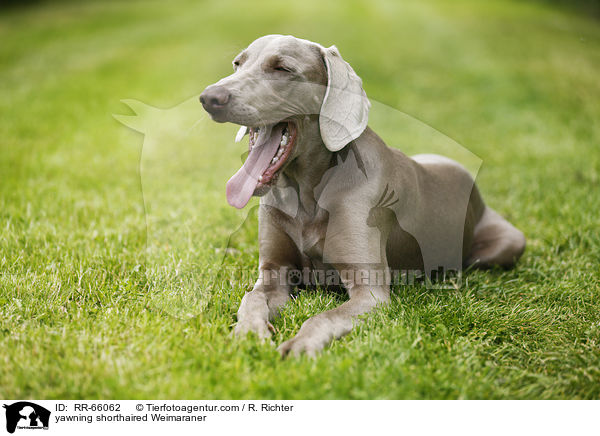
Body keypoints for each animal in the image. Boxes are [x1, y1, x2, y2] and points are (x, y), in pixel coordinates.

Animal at [202, 35, 524, 358]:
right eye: (237, 63)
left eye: (282, 68)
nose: (209, 97)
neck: (308, 192)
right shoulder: (273, 270)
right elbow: (251, 298)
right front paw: (248, 332)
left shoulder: (370, 292)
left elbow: (322, 318)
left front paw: (299, 347)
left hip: (506, 245)